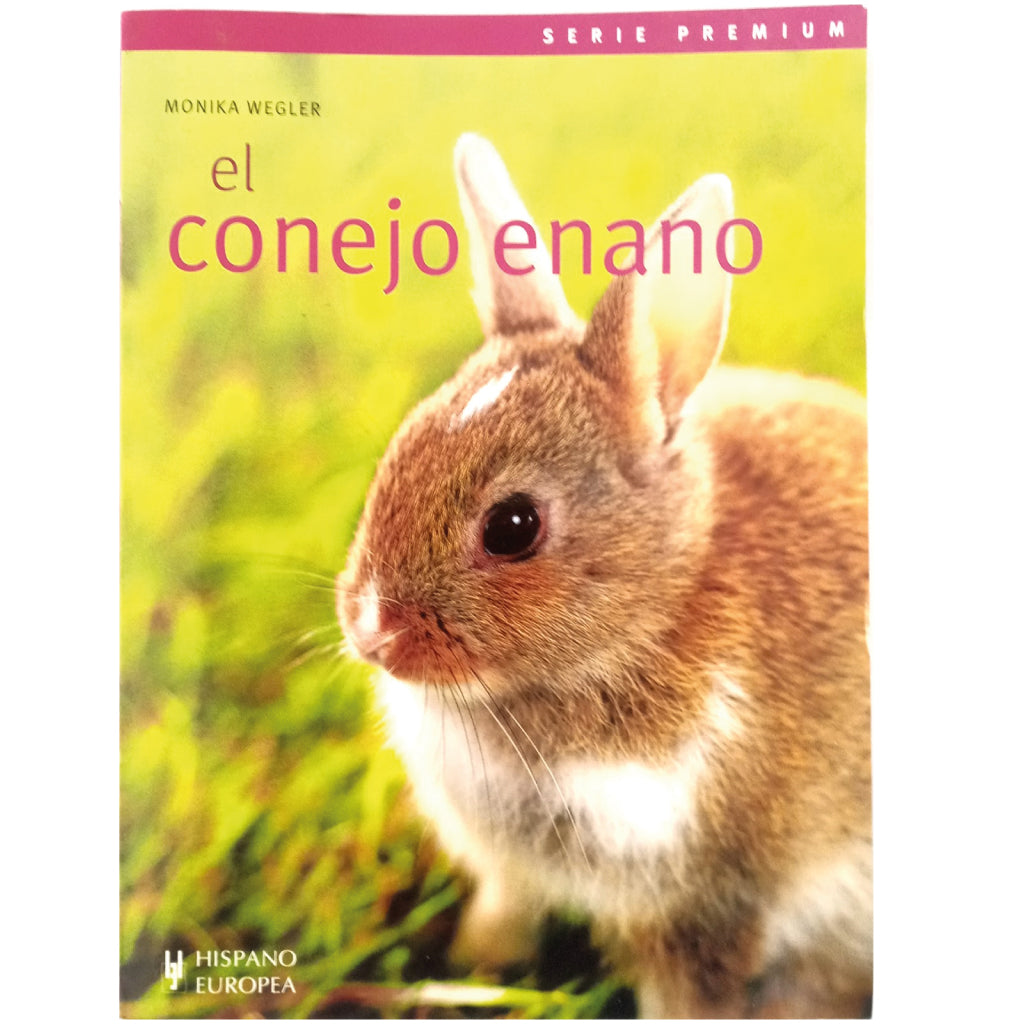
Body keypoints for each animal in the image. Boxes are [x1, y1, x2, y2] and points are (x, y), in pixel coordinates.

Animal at [337, 133, 870, 1019]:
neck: (652, 616)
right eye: (397, 451)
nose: (373, 633)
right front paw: (469, 966)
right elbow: (502, 916)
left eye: (513, 527)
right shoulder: (512, 874)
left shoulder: (709, 902)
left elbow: (694, 994)